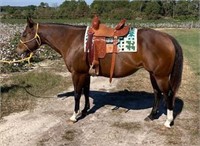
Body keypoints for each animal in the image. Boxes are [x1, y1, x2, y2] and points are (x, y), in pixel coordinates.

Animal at [16, 18, 183, 128]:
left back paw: (168, 121)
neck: (72, 40)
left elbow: (77, 94)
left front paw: (74, 115)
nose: (17, 51)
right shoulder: (85, 73)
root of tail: (167, 37)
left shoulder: (77, 73)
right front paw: (85, 110)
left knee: (167, 94)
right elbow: (86, 91)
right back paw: (151, 115)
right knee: (157, 93)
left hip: (160, 76)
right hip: (153, 74)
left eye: (24, 34)